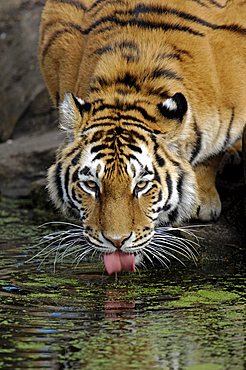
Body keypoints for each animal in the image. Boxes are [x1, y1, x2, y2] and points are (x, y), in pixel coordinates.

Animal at [38, 0, 246, 272]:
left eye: (142, 185)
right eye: (91, 185)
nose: (116, 241)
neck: (128, 86)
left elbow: (210, 155)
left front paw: (201, 201)